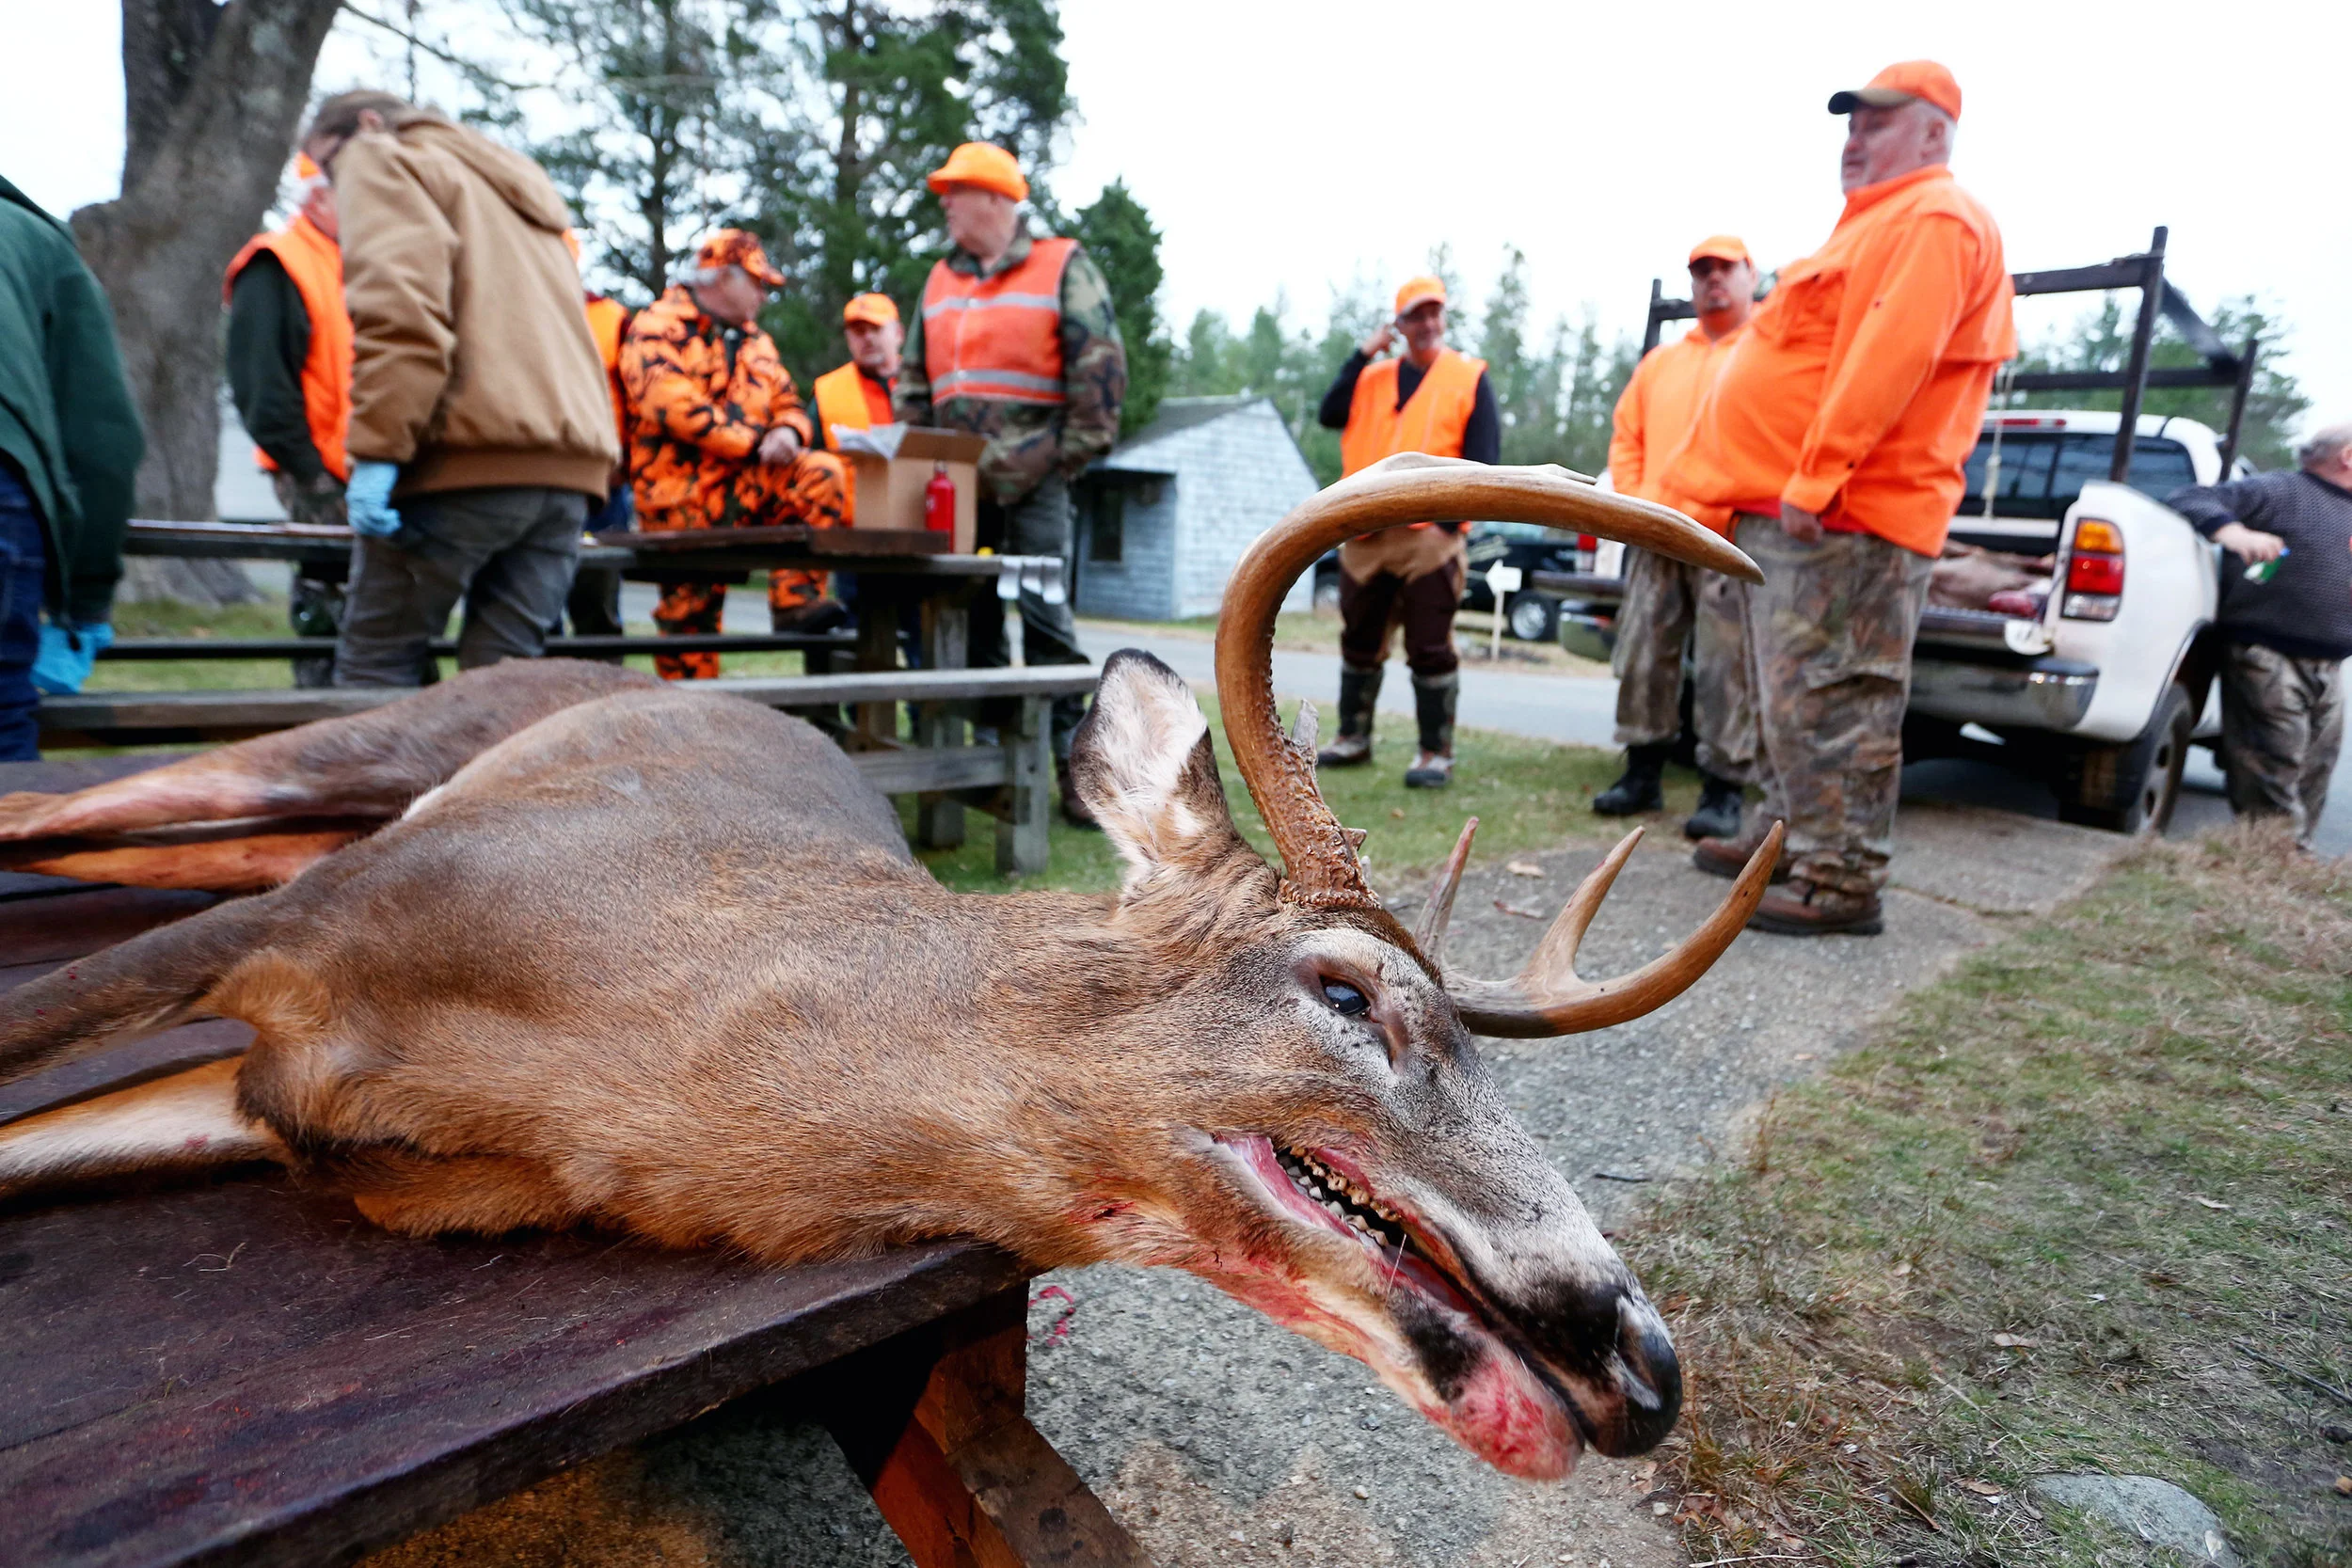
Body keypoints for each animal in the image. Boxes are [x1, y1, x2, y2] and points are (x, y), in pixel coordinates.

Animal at [0, 455, 1780, 1483]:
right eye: (1347, 991)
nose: (1646, 1361)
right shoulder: (319, 924)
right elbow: (34, 1015)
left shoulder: (253, 1098)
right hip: (352, 775)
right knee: (78, 804)